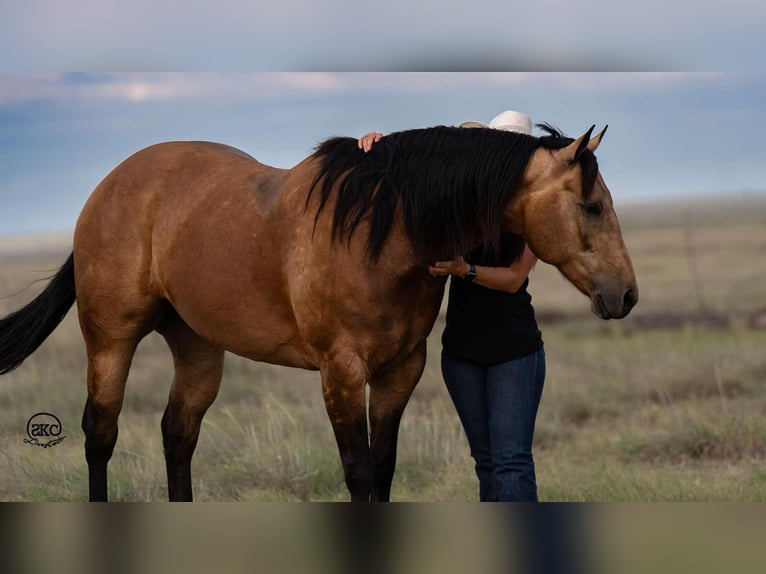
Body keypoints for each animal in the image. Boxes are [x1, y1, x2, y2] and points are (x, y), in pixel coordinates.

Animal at [0, 124, 640, 502]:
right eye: (591, 205)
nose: (626, 295)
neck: (381, 230)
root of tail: (108, 186)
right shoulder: (342, 372)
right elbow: (357, 469)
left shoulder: (400, 371)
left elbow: (383, 466)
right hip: (111, 339)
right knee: (100, 433)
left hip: (198, 346)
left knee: (177, 434)